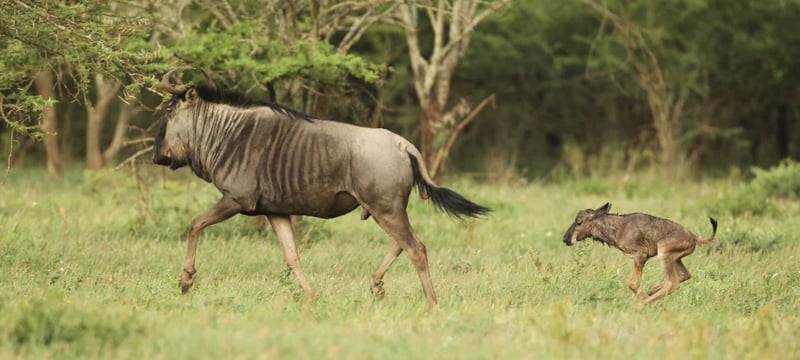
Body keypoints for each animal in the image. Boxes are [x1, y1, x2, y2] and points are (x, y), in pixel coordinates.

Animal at [564, 202, 720, 304]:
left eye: (579, 222)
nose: (565, 239)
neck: (617, 229)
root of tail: (695, 237)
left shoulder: (640, 255)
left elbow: (632, 283)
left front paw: (642, 298)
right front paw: (645, 295)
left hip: (664, 253)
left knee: (672, 282)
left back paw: (644, 303)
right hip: (675, 258)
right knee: (685, 275)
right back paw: (651, 293)